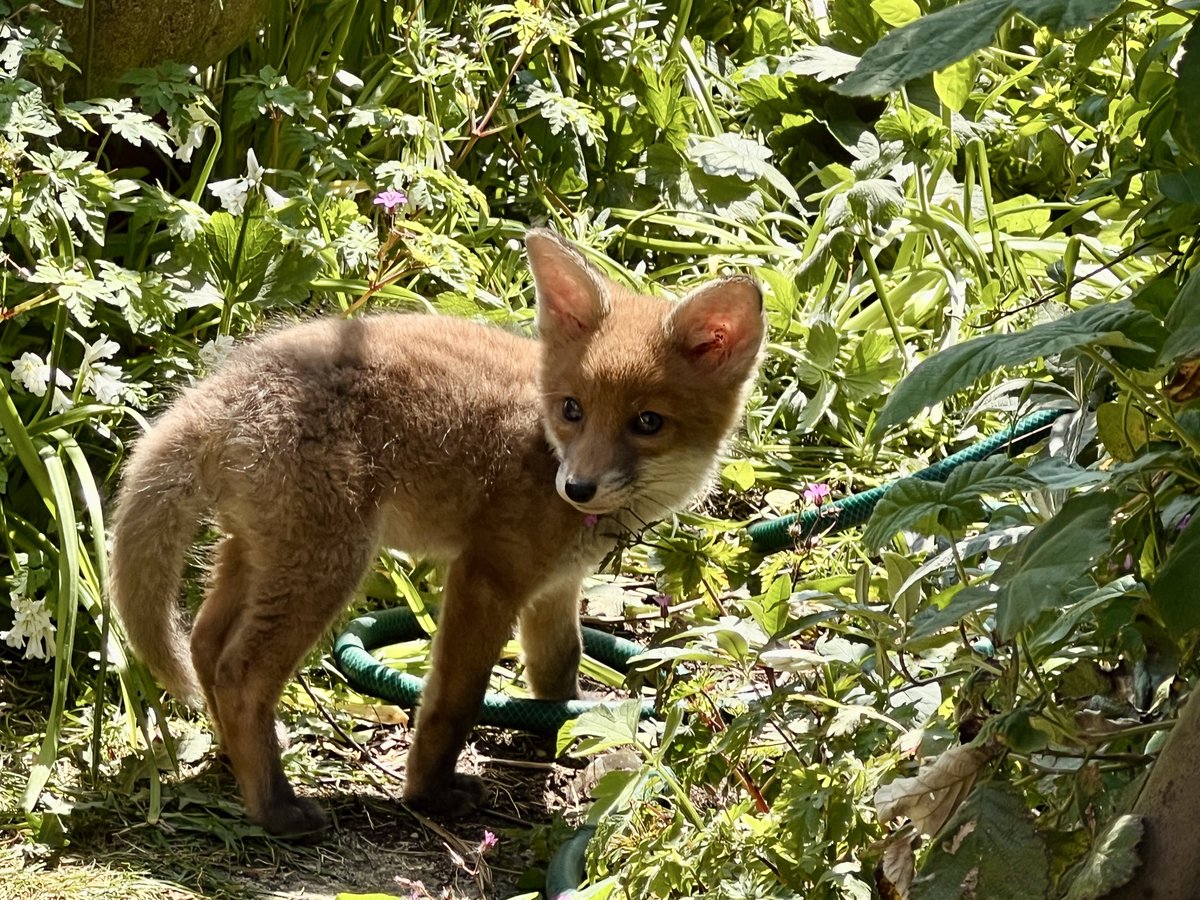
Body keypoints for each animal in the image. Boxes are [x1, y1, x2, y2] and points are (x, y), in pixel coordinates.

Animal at [108, 228, 765, 837]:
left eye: (648, 422)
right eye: (573, 409)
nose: (576, 488)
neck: (543, 448)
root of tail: (221, 392)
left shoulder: (555, 586)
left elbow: (558, 672)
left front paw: (574, 735)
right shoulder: (485, 575)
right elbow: (454, 699)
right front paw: (429, 794)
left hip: (258, 553)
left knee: (204, 645)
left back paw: (232, 763)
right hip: (328, 566)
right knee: (240, 674)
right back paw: (275, 809)